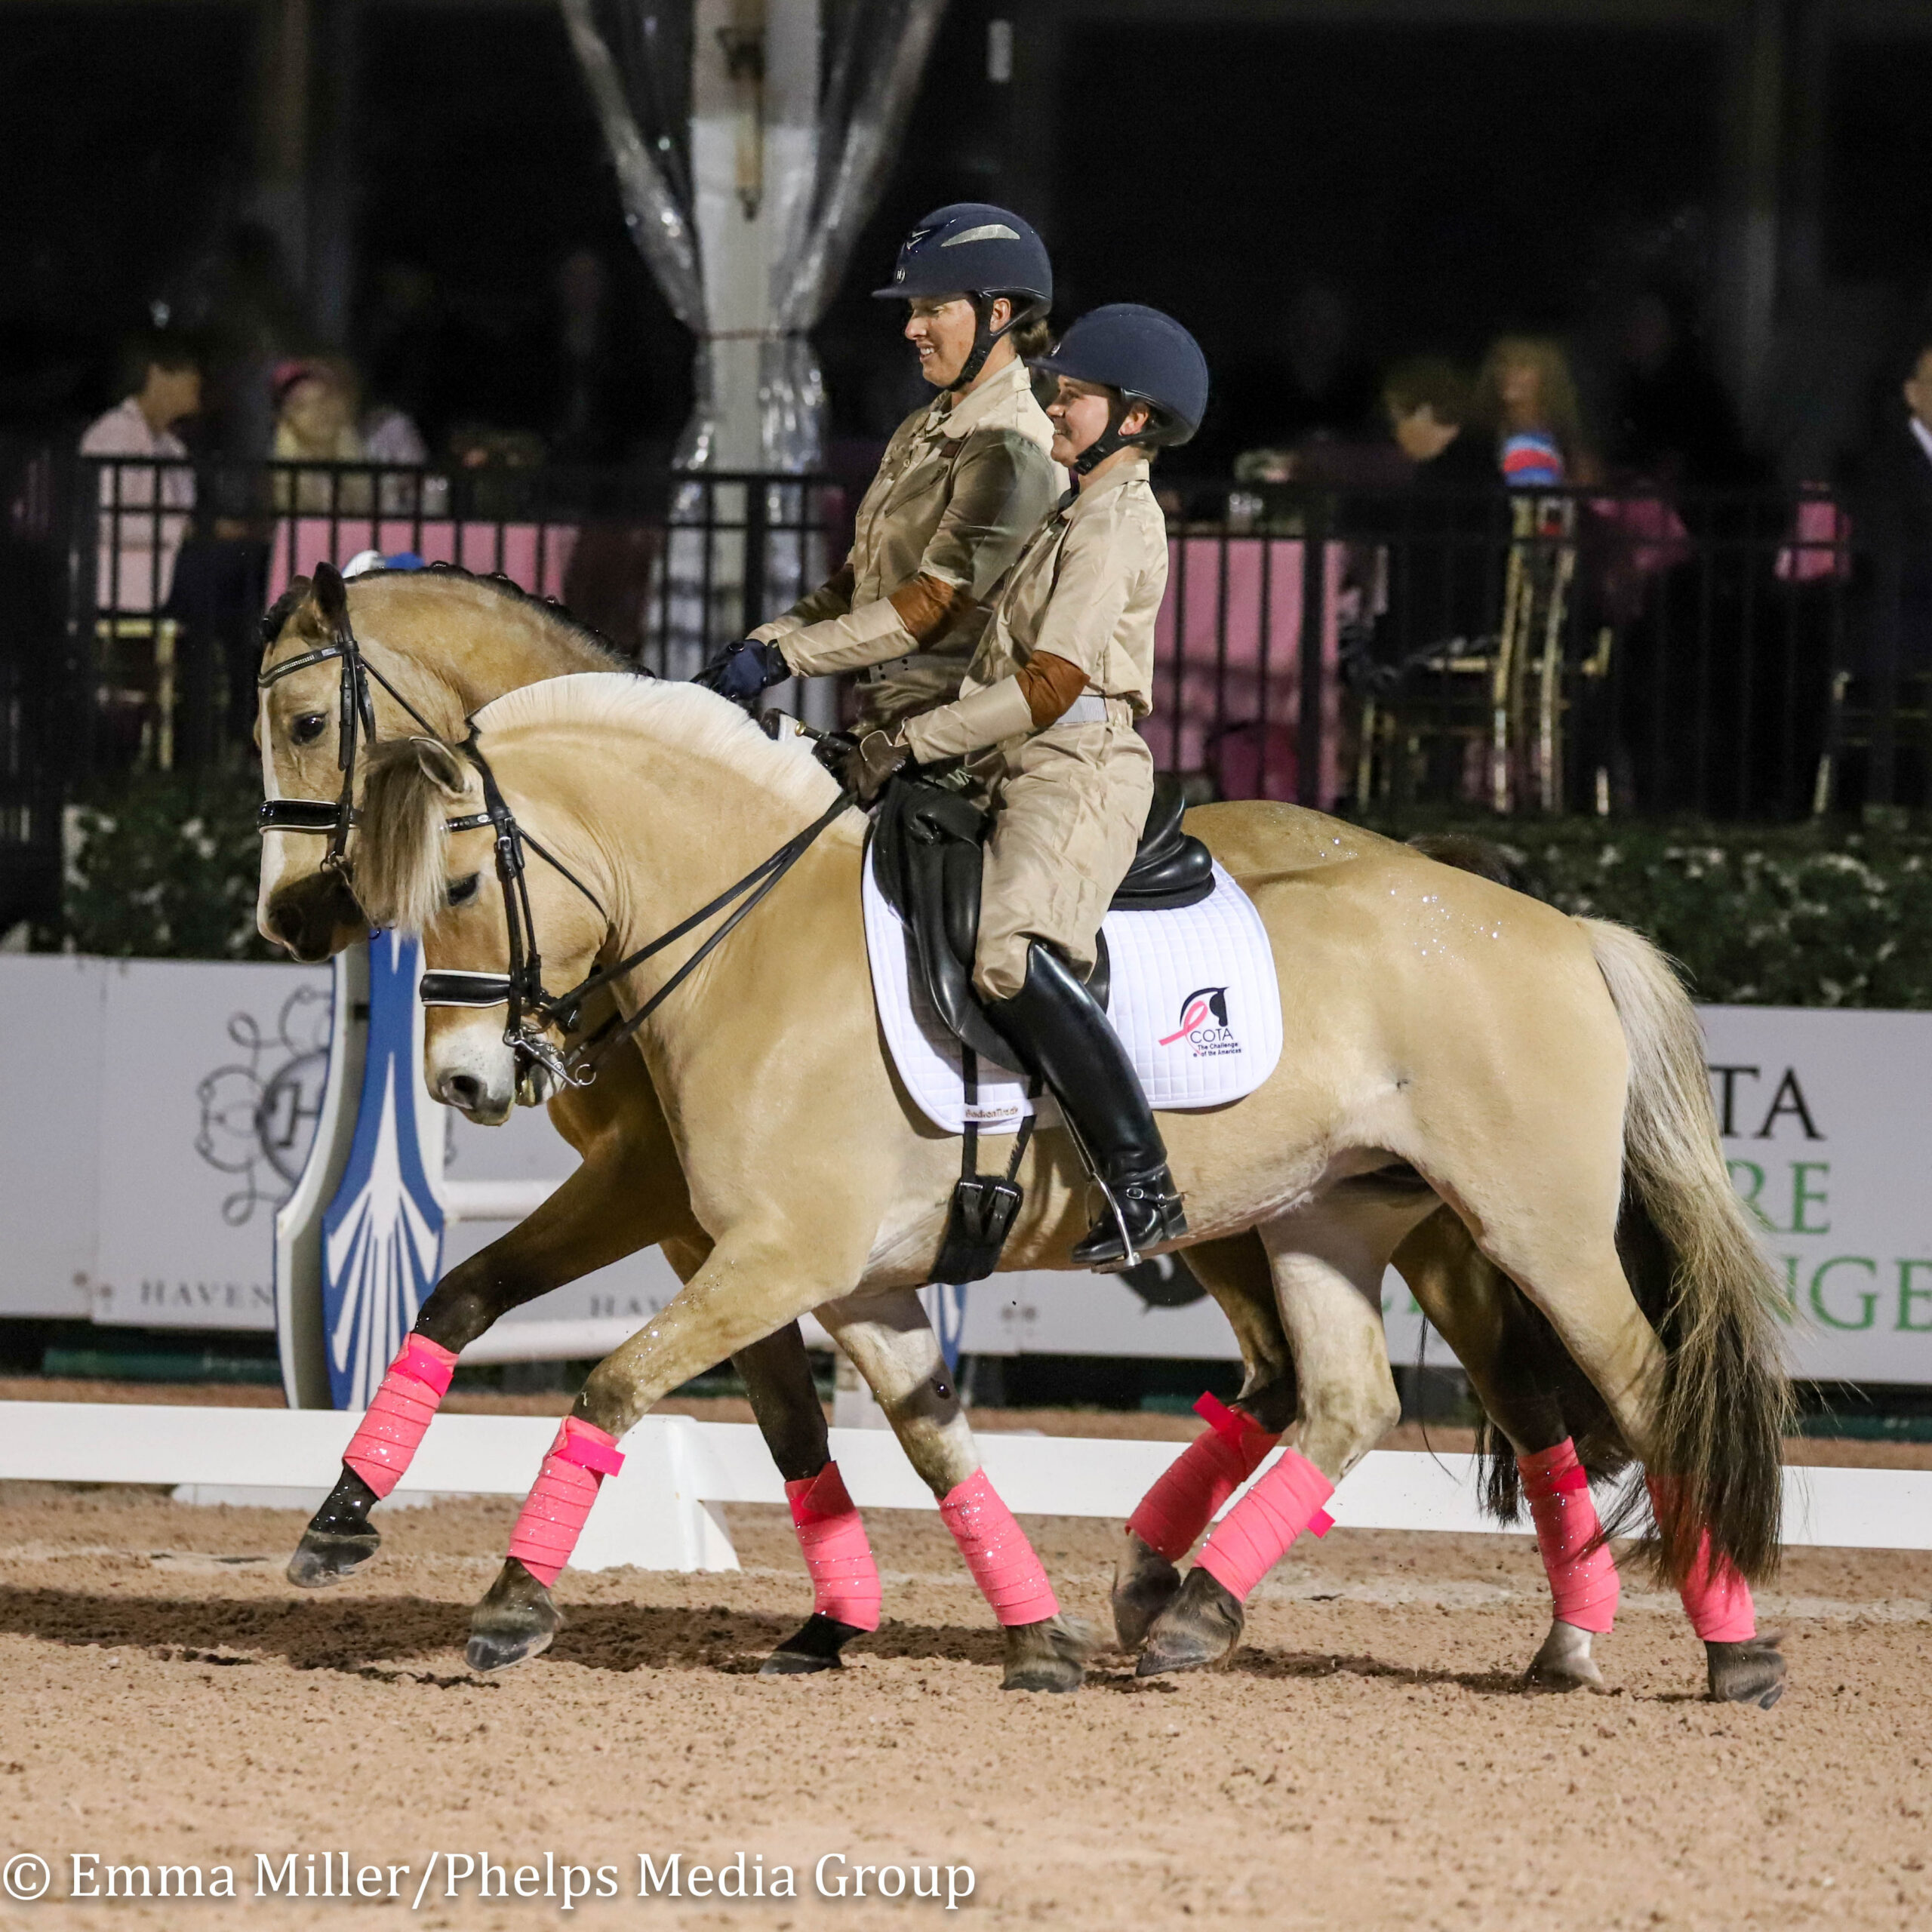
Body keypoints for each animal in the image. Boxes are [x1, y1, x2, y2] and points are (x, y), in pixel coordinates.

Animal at [257, 566, 1784, 1700]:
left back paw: (1724, 1647)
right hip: (1327, 1218)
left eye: (460, 878)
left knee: (1633, 1388)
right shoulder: (837, 1273)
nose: (461, 1081)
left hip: (1529, 1226)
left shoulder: (744, 1240)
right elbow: (913, 1441)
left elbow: (614, 1383)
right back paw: (1202, 1611)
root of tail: (1553, 924)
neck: (744, 932)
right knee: (1343, 1395)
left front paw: (506, 1603)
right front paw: (1000, 1635)